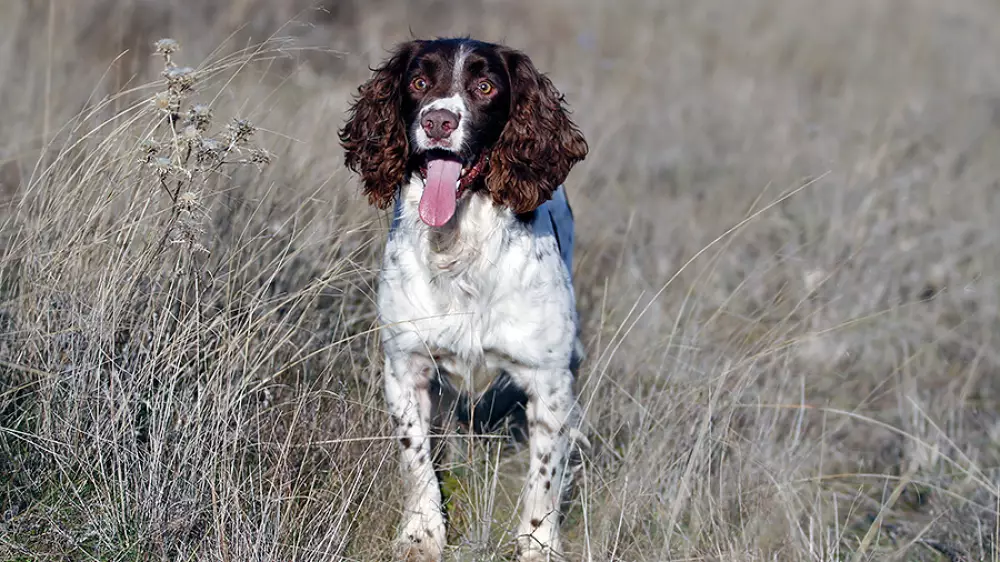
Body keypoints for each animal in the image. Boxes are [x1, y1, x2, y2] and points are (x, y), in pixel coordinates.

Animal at [342, 37, 584, 556]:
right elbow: (416, 462)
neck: (458, 249)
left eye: (485, 86)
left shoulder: (550, 383)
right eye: (418, 81)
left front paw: (537, 545)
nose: (438, 121)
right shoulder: (406, 367)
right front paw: (421, 536)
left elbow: (544, 477)